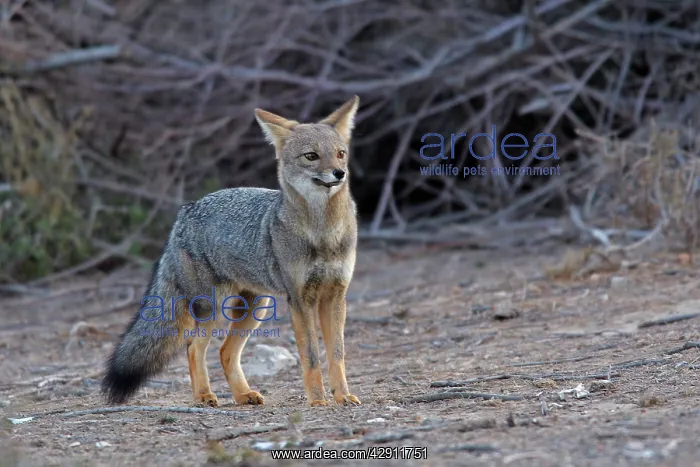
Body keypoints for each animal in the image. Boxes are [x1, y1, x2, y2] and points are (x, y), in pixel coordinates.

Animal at [101, 96, 362, 407]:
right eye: (311, 156)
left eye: (340, 154)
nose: (340, 173)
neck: (323, 234)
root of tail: (186, 210)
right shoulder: (300, 300)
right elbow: (310, 356)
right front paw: (318, 400)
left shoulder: (336, 295)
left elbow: (337, 354)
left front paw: (343, 395)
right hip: (214, 307)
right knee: (194, 346)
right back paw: (204, 395)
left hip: (256, 307)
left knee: (225, 351)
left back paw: (242, 394)